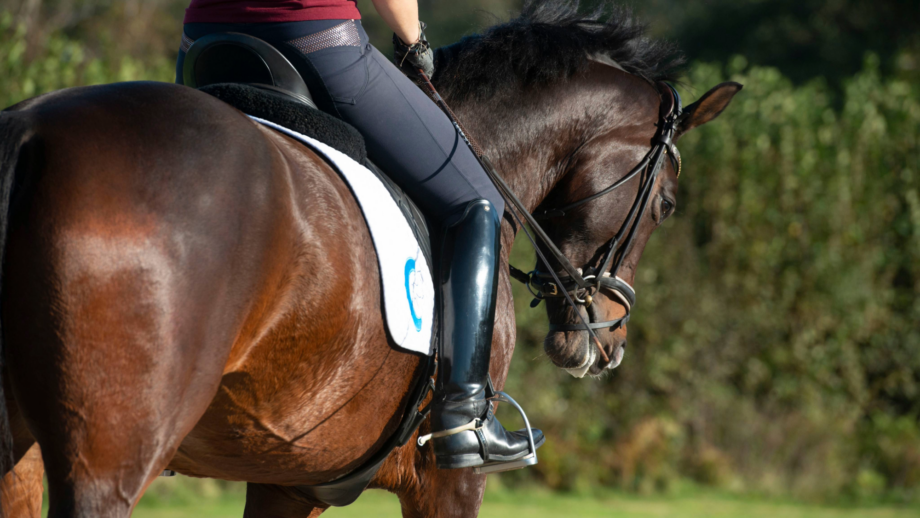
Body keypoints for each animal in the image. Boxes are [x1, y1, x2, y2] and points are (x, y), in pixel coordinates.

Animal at [0, 3, 740, 517]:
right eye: (667, 204)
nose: (606, 343)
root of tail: (31, 133)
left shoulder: (290, 478)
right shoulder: (447, 482)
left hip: (22, 459)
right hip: (109, 462)